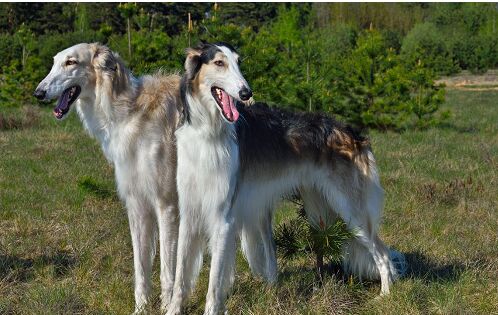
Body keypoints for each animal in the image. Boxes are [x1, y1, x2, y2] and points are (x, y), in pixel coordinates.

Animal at [35, 43, 183, 314]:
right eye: (55, 61)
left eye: (71, 62)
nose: (38, 93)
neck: (130, 114)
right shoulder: (136, 204)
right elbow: (141, 267)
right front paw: (141, 308)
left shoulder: (166, 205)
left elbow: (167, 270)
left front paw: (167, 306)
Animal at [167, 42, 404, 315]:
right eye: (219, 63)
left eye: (238, 62)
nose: (246, 93)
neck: (207, 133)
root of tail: (353, 134)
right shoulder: (189, 213)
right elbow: (180, 277)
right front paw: (172, 309)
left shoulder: (222, 218)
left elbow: (214, 284)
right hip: (320, 206)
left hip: (351, 210)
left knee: (383, 254)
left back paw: (385, 296)